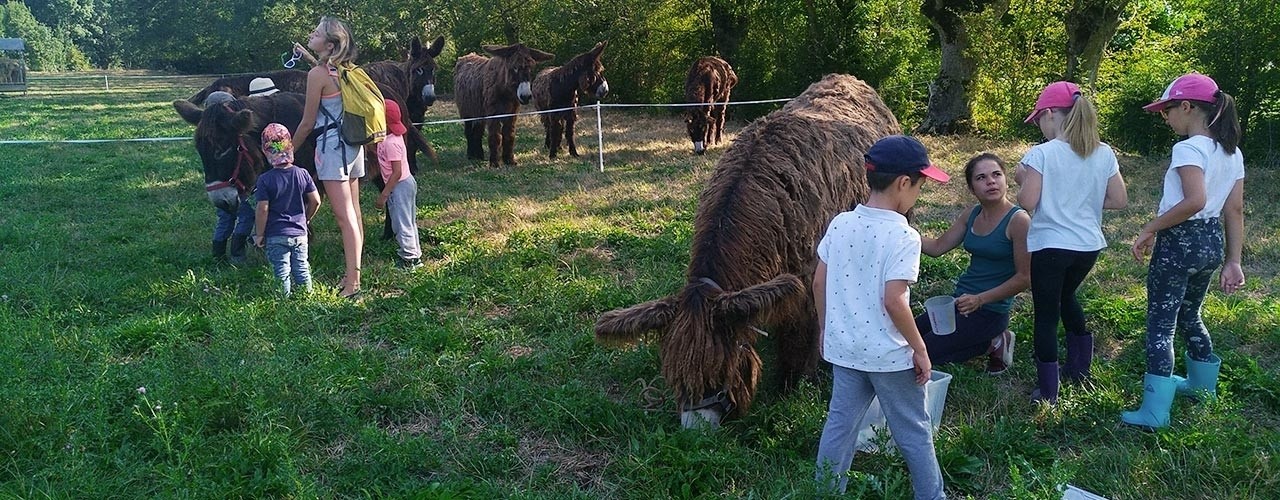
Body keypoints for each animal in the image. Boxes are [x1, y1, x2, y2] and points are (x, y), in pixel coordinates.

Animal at [596, 74, 906, 429]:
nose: (694, 431)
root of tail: (847, 78)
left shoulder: (810, 285)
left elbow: (801, 342)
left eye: (720, 373)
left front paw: (794, 386)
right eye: (676, 378)